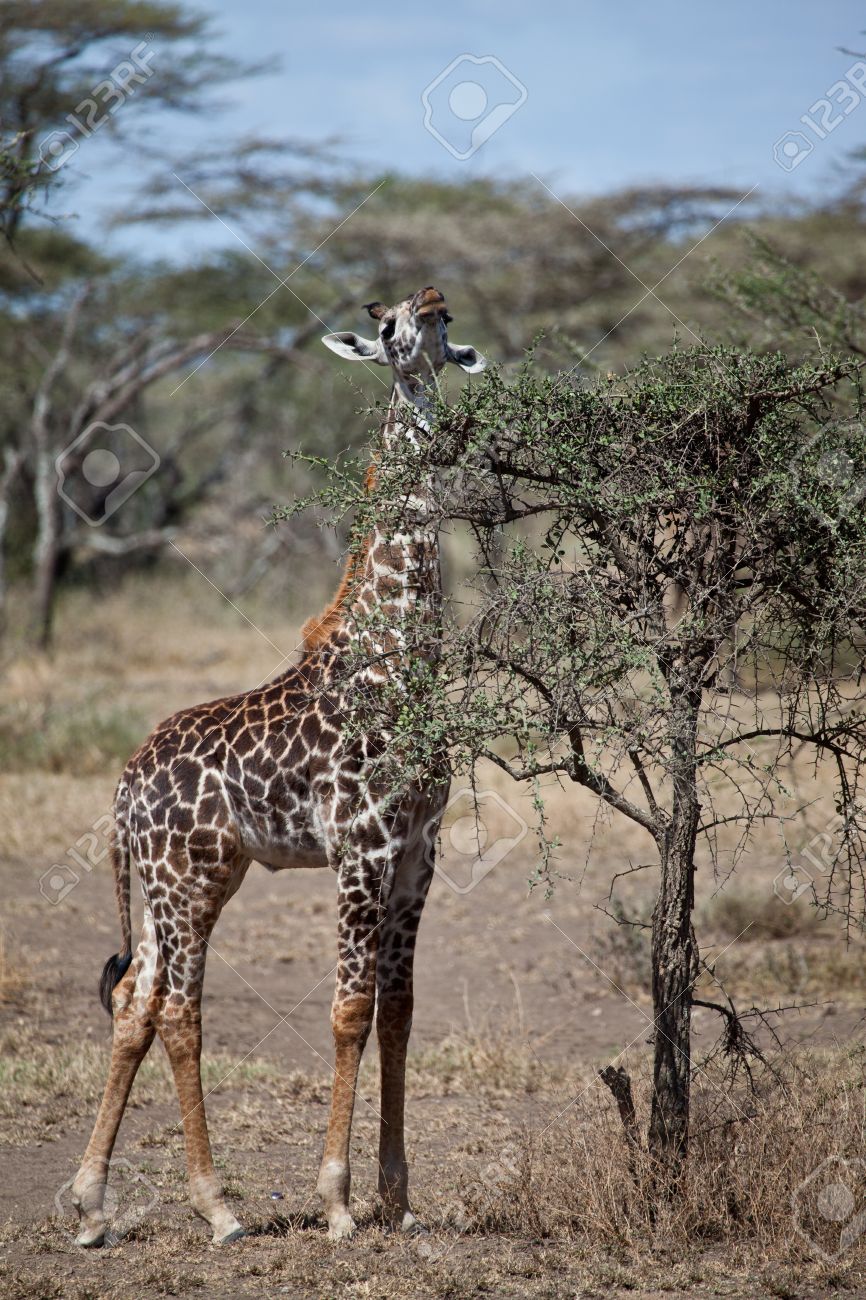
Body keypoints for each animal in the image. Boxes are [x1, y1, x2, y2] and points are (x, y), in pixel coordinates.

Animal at [69, 286, 486, 1247]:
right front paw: (336, 1202)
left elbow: (399, 1011)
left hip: (195, 879)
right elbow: (348, 1012)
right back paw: (217, 1208)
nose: (431, 299)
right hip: (184, 881)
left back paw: (91, 1205)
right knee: (178, 1010)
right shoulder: (362, 846)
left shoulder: (419, 851)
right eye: (387, 329)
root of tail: (123, 788)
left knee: (135, 1000)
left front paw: (398, 1199)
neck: (393, 654)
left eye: (439, 321)